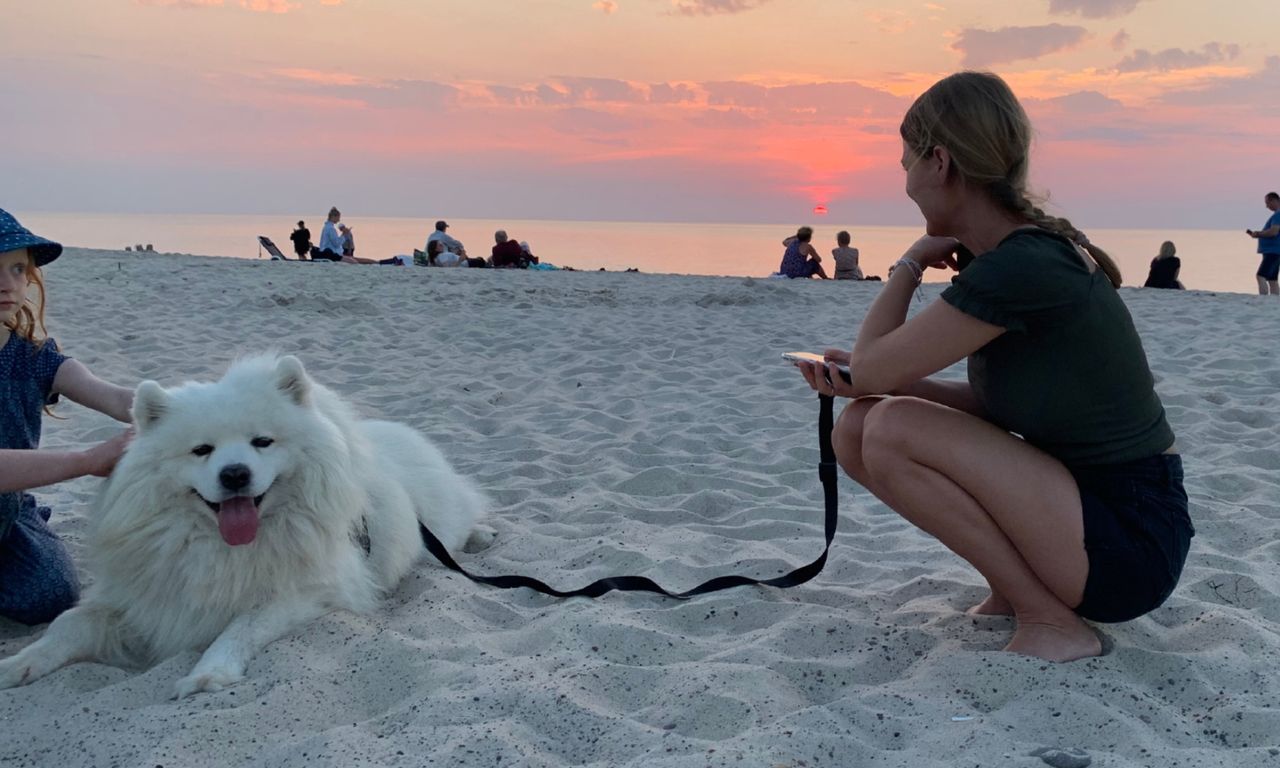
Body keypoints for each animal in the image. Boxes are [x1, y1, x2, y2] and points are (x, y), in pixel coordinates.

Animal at [0, 353, 488, 696]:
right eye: (201, 450)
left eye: (262, 442)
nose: (234, 474)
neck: (220, 547)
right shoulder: (143, 597)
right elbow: (69, 623)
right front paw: (17, 664)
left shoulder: (306, 592)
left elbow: (241, 627)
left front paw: (209, 674)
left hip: (444, 519)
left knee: (467, 513)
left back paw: (484, 535)